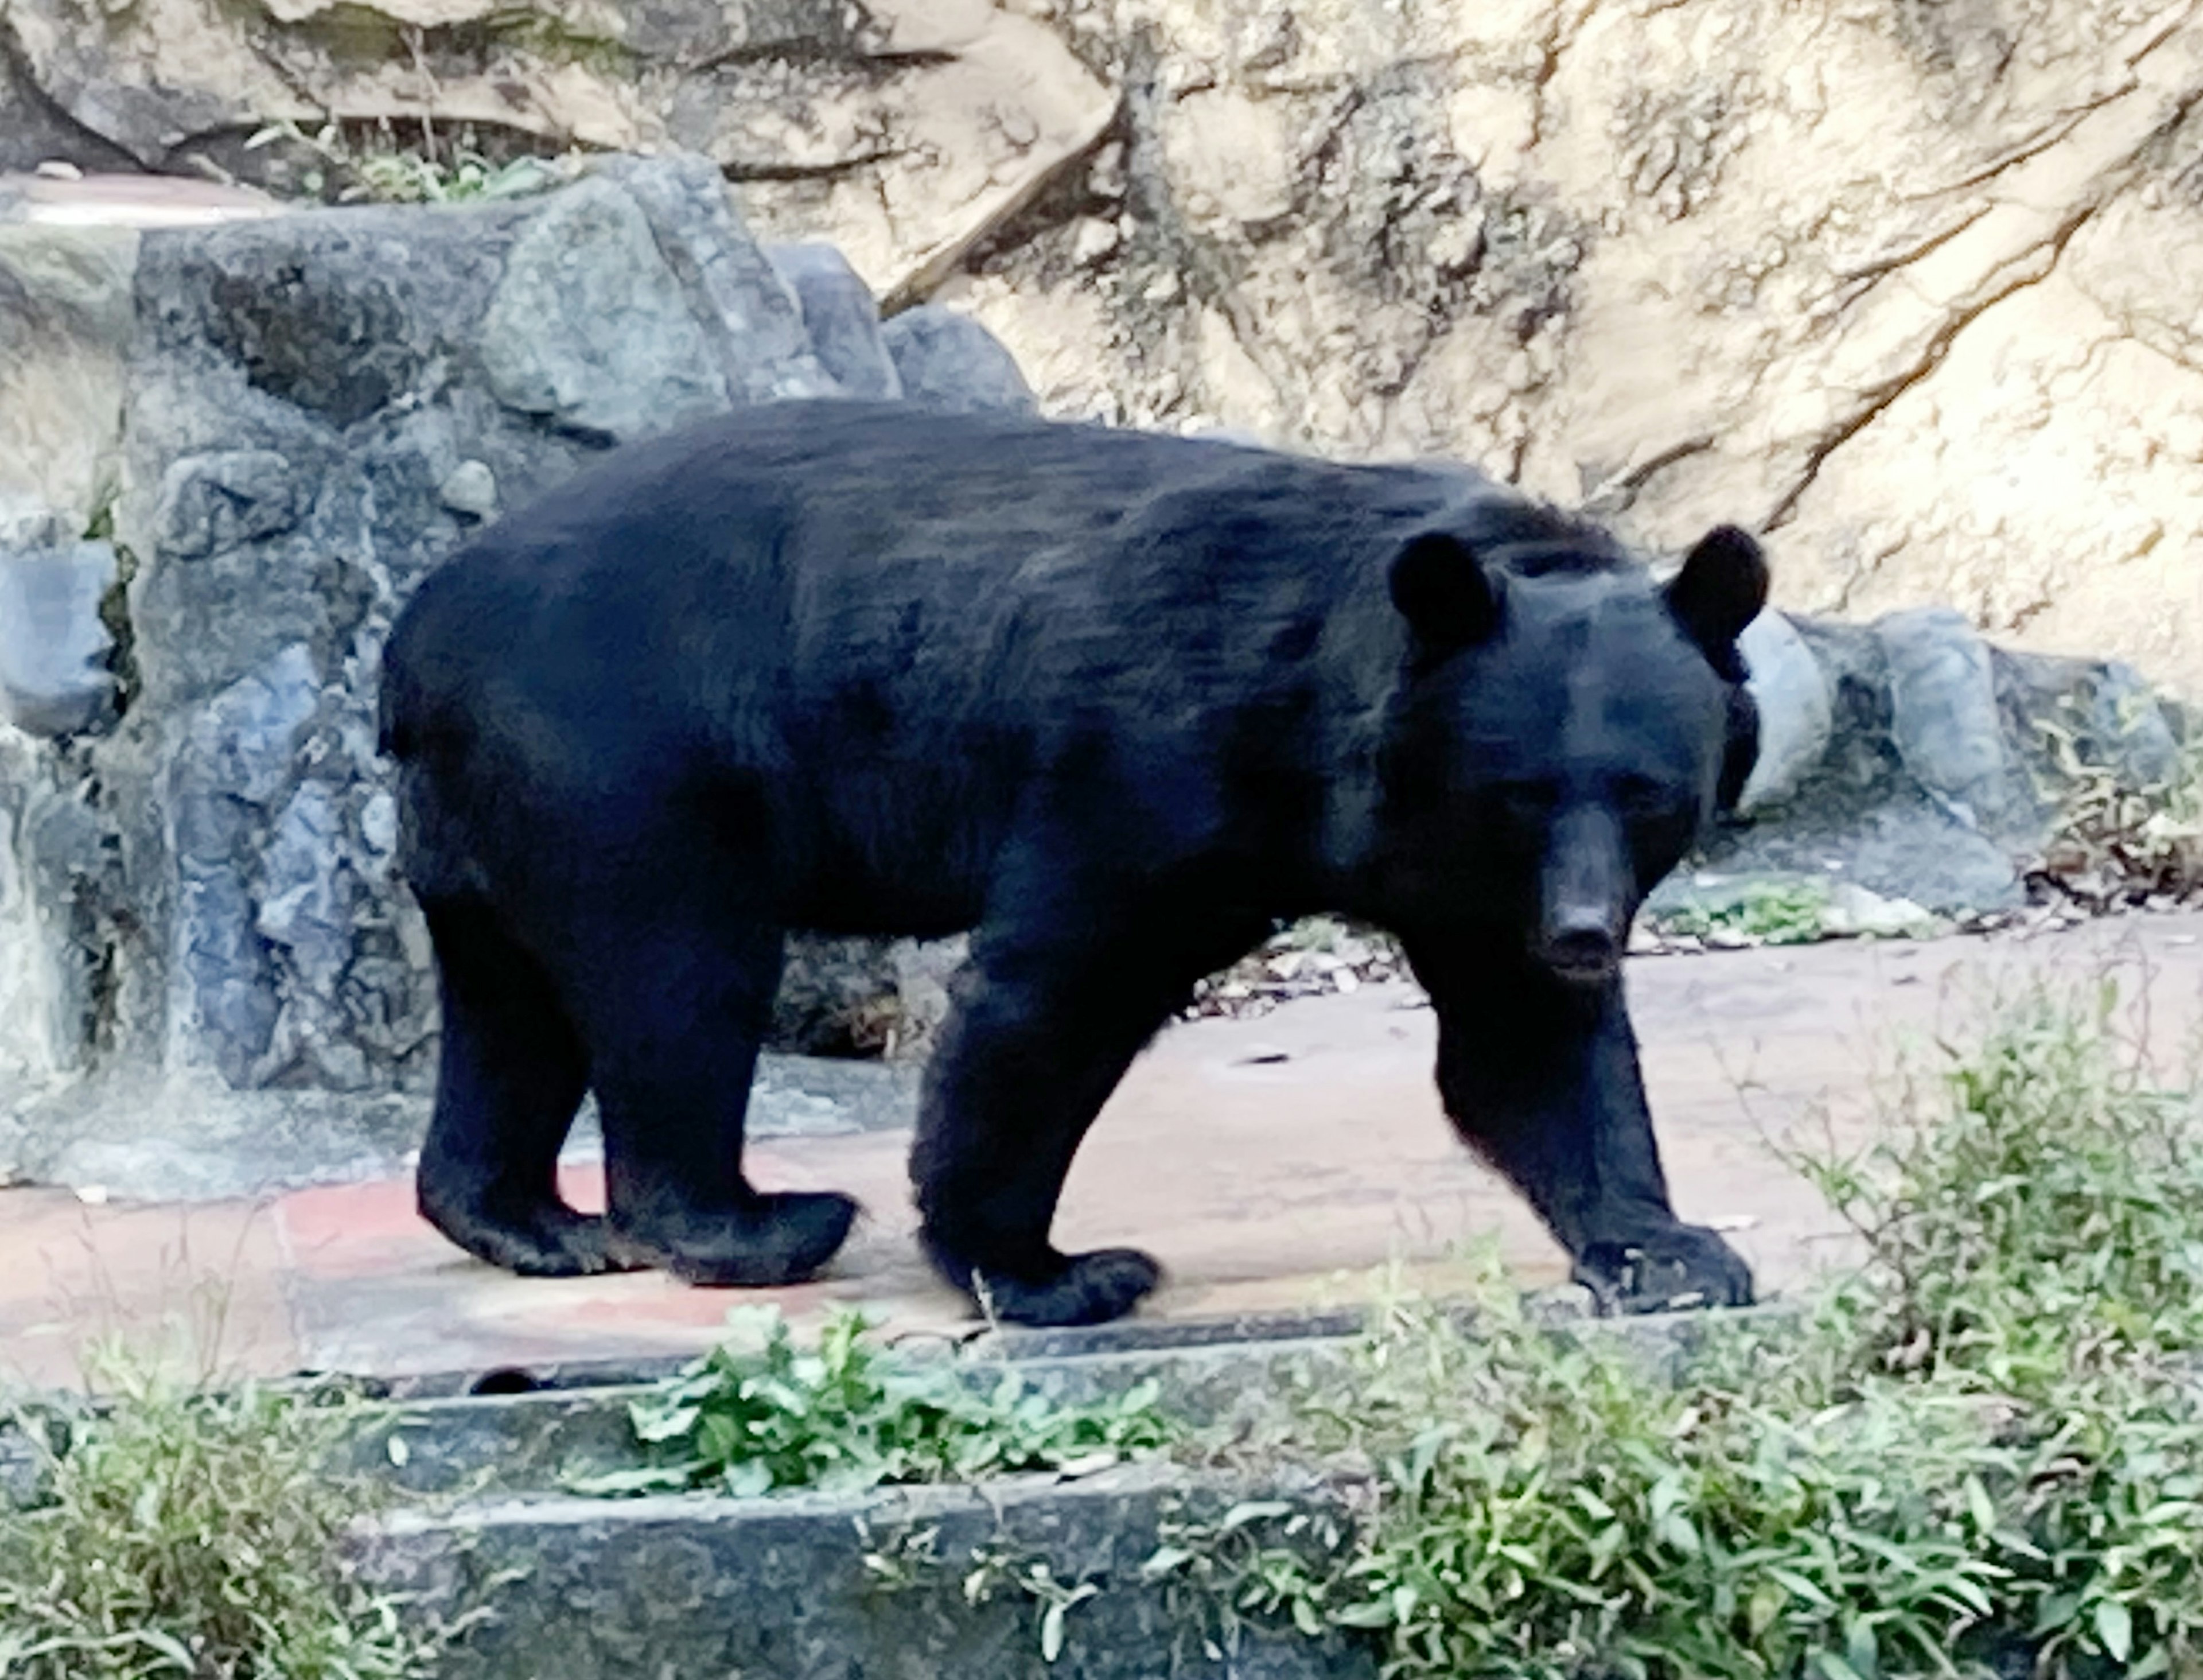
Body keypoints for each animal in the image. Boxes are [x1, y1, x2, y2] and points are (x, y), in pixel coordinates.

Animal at [379, 403, 1762, 1323]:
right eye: (1518, 792)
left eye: (1650, 795)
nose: (1583, 933)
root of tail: (417, 633)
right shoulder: (1159, 753)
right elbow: (1062, 985)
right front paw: (1052, 1270)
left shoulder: (1461, 876)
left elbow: (1521, 1047)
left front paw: (1669, 1248)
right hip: (629, 763)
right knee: (679, 982)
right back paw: (753, 1223)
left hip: (495, 808)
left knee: (511, 999)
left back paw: (528, 1220)